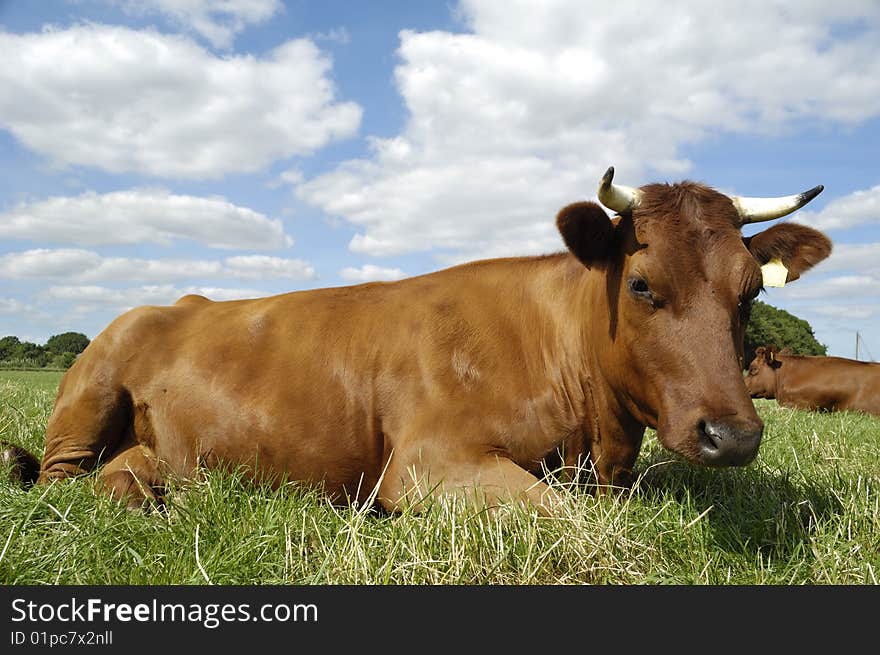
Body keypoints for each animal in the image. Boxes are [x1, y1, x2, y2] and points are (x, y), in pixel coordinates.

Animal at [1, 168, 832, 512]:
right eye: (642, 285)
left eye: (751, 292)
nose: (733, 435)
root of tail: (175, 300)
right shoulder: (427, 461)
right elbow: (561, 516)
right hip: (91, 389)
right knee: (56, 481)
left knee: (123, 472)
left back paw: (152, 493)